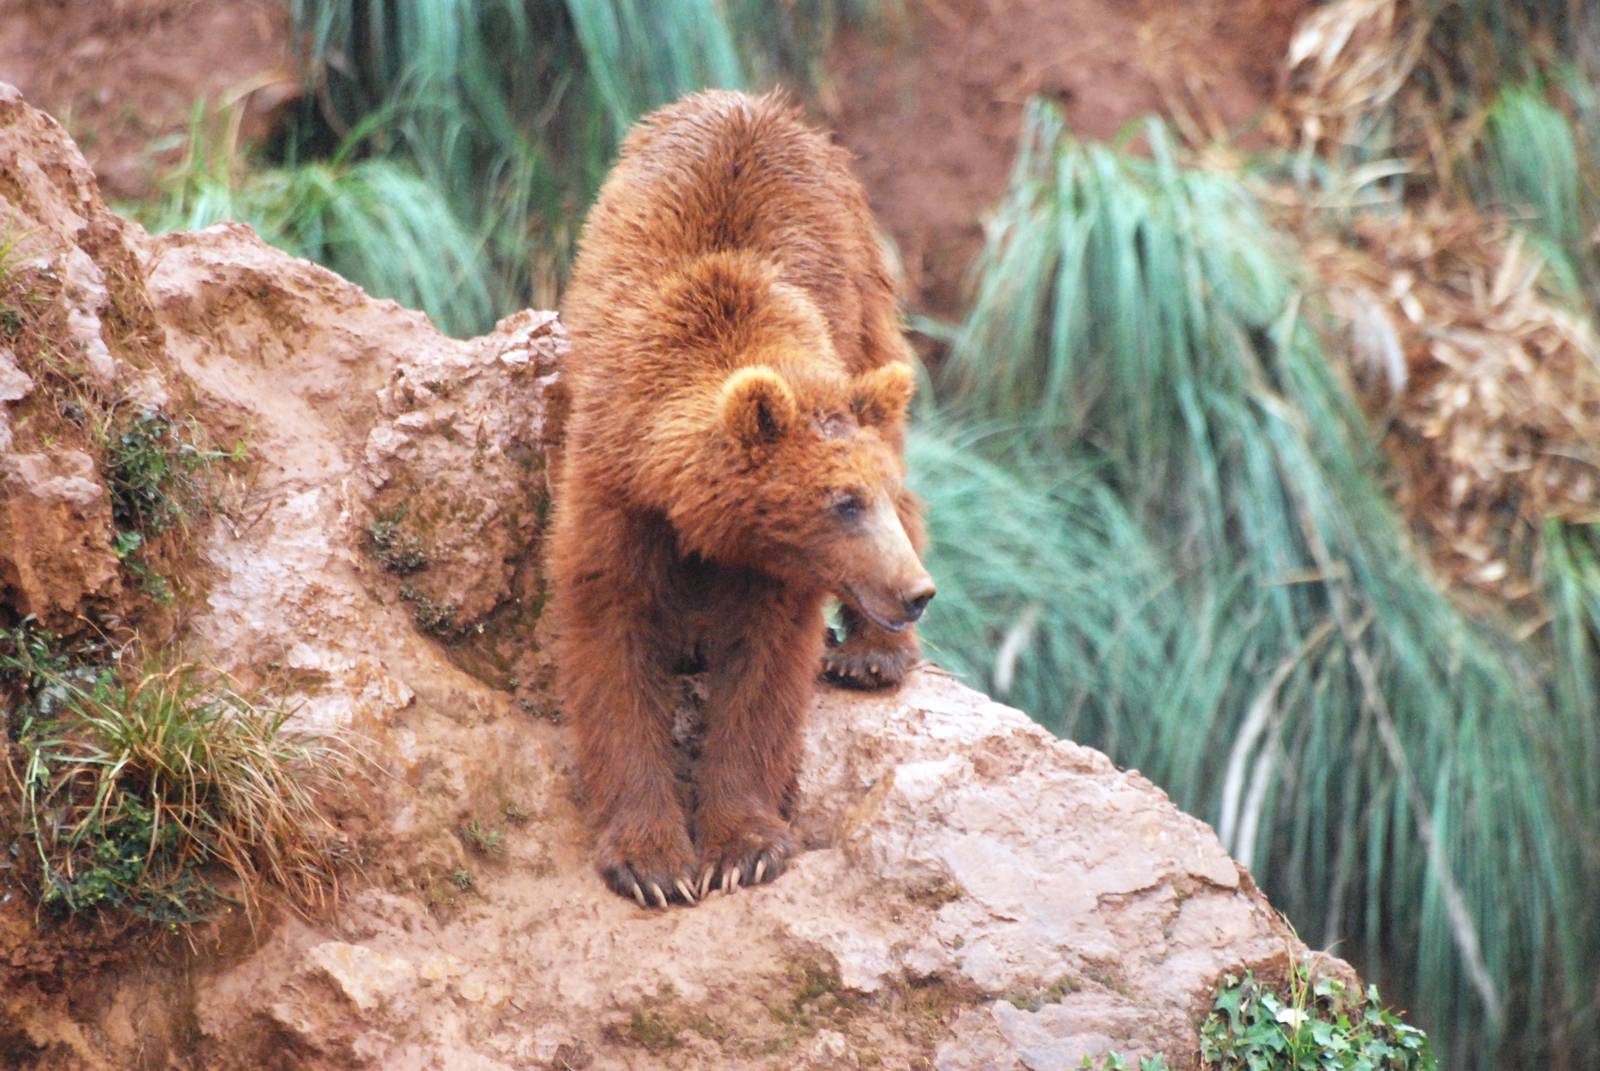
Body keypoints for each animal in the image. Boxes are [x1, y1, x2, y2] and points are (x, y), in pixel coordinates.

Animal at [548, 89, 934, 908]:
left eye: (874, 498)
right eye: (843, 501)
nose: (917, 591)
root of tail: (761, 104)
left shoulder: (780, 566)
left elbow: (765, 671)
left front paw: (743, 846)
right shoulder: (613, 489)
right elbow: (611, 644)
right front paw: (652, 861)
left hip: (862, 287)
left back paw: (871, 656)